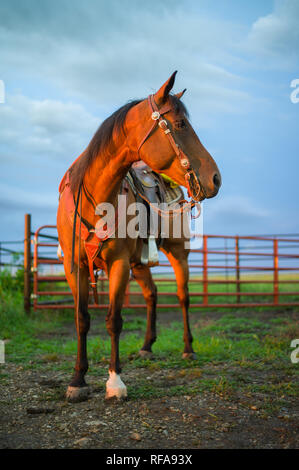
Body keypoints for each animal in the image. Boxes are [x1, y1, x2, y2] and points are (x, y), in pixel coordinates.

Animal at [56, 71, 221, 402]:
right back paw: (146, 346)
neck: (95, 199)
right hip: (140, 263)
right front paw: (77, 380)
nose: (215, 178)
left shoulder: (118, 264)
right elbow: (82, 319)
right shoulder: (74, 266)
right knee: (152, 294)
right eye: (180, 124)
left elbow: (113, 320)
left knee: (183, 296)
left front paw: (115, 381)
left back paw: (188, 349)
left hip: (178, 253)